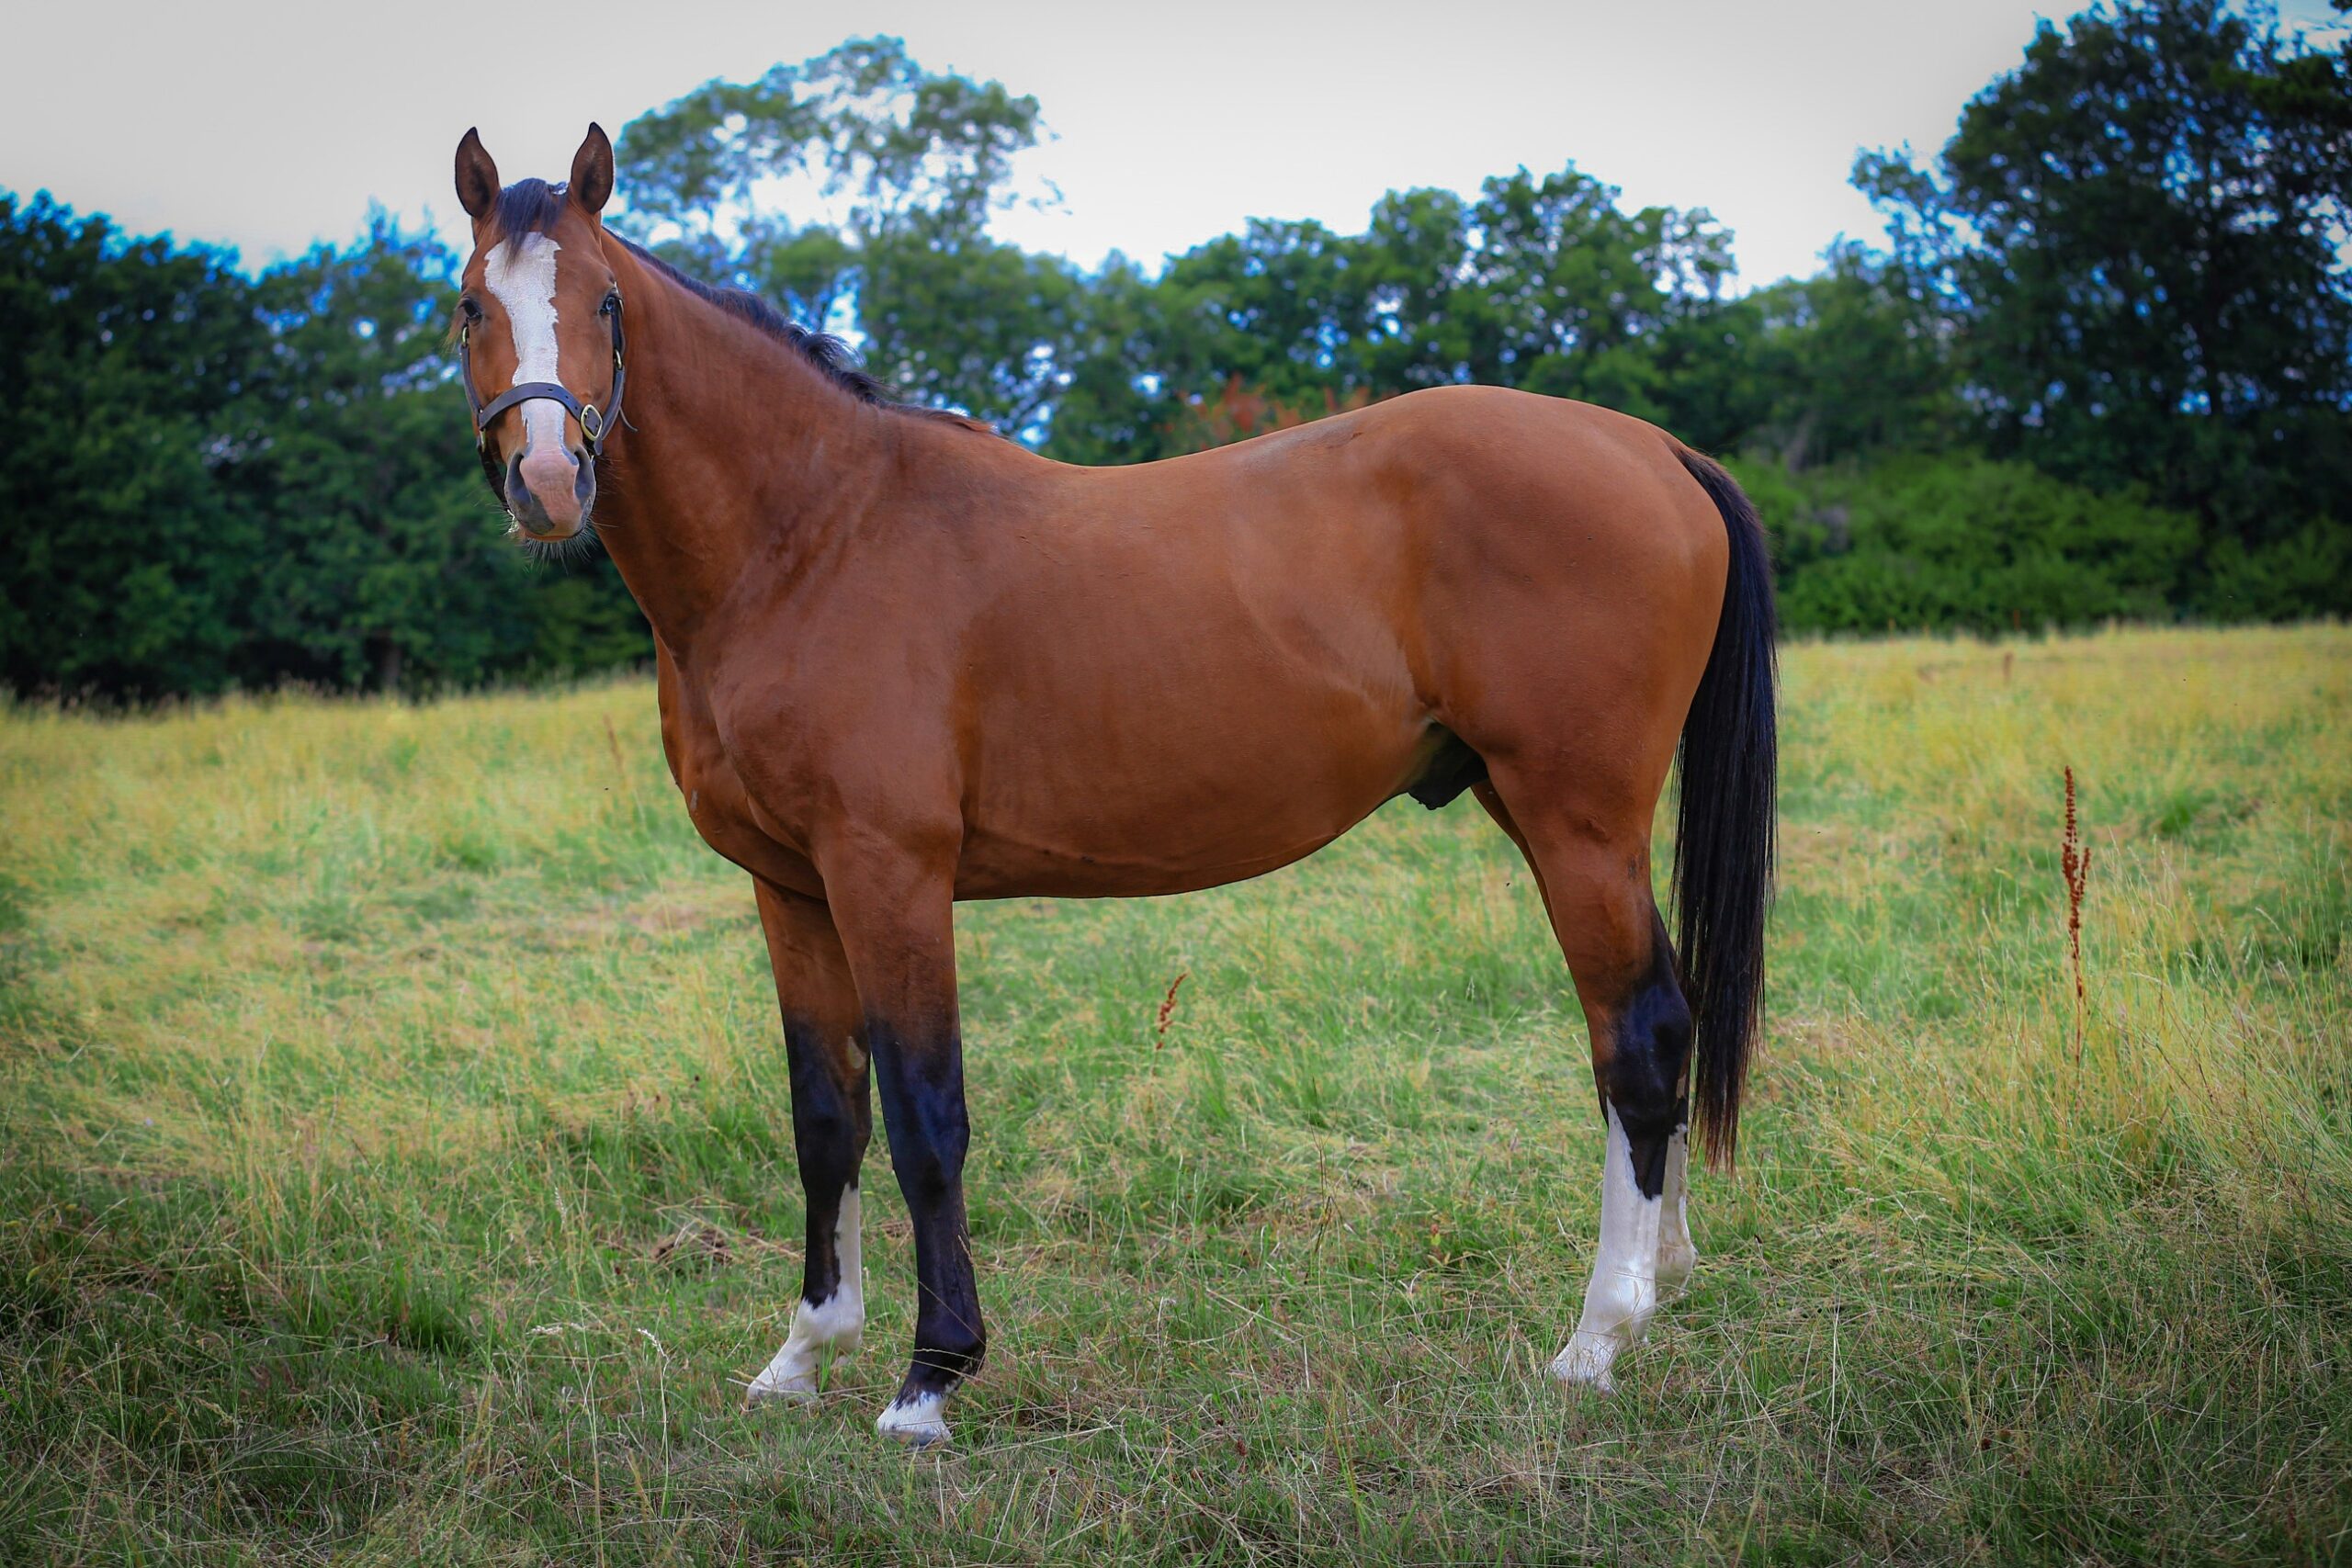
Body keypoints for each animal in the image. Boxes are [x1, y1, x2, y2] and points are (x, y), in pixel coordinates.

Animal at [448, 125, 1769, 1448]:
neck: (810, 535)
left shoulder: (889, 874)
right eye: (470, 306)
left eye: (603, 301)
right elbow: (827, 1117)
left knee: (1640, 1033)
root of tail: (1652, 448)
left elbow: (926, 1113)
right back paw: (1665, 1274)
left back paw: (1597, 1337)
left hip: (1575, 817)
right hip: (1547, 813)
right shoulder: (793, 887)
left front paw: (930, 1377)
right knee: (1650, 1029)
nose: (549, 483)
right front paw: (803, 1353)